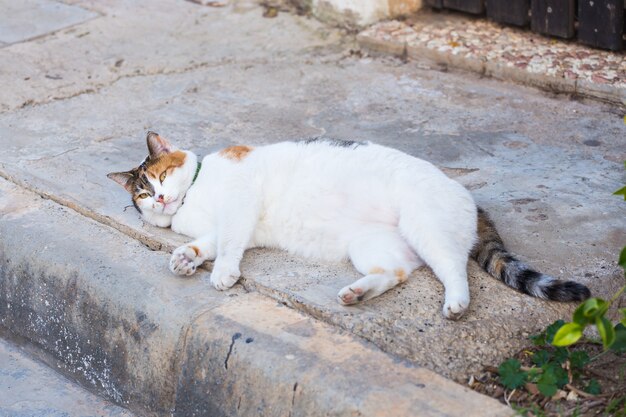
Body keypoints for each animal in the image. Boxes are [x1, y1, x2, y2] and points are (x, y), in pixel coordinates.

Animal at [108, 132, 588, 320]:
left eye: (160, 177)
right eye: (143, 196)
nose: (161, 199)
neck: (193, 197)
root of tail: (469, 197)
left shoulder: (241, 201)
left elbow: (226, 245)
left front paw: (222, 273)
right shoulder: (237, 226)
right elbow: (212, 241)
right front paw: (186, 258)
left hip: (426, 226)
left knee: (455, 269)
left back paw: (455, 303)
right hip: (371, 244)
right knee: (395, 272)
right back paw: (357, 292)